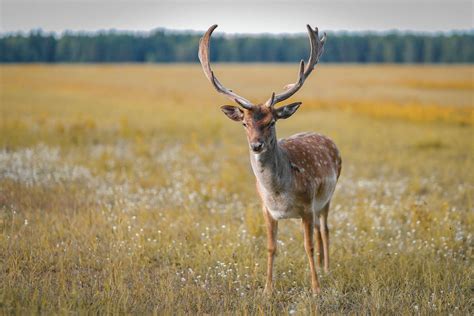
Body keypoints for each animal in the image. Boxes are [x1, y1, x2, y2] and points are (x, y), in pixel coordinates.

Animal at [198, 24, 342, 294]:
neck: (278, 192)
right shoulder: (266, 210)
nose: (256, 145)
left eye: (271, 121)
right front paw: (267, 289)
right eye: (245, 123)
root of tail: (327, 138)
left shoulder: (307, 206)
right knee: (321, 229)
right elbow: (271, 247)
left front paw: (316, 289)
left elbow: (308, 246)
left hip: (327, 196)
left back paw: (327, 269)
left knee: (326, 229)